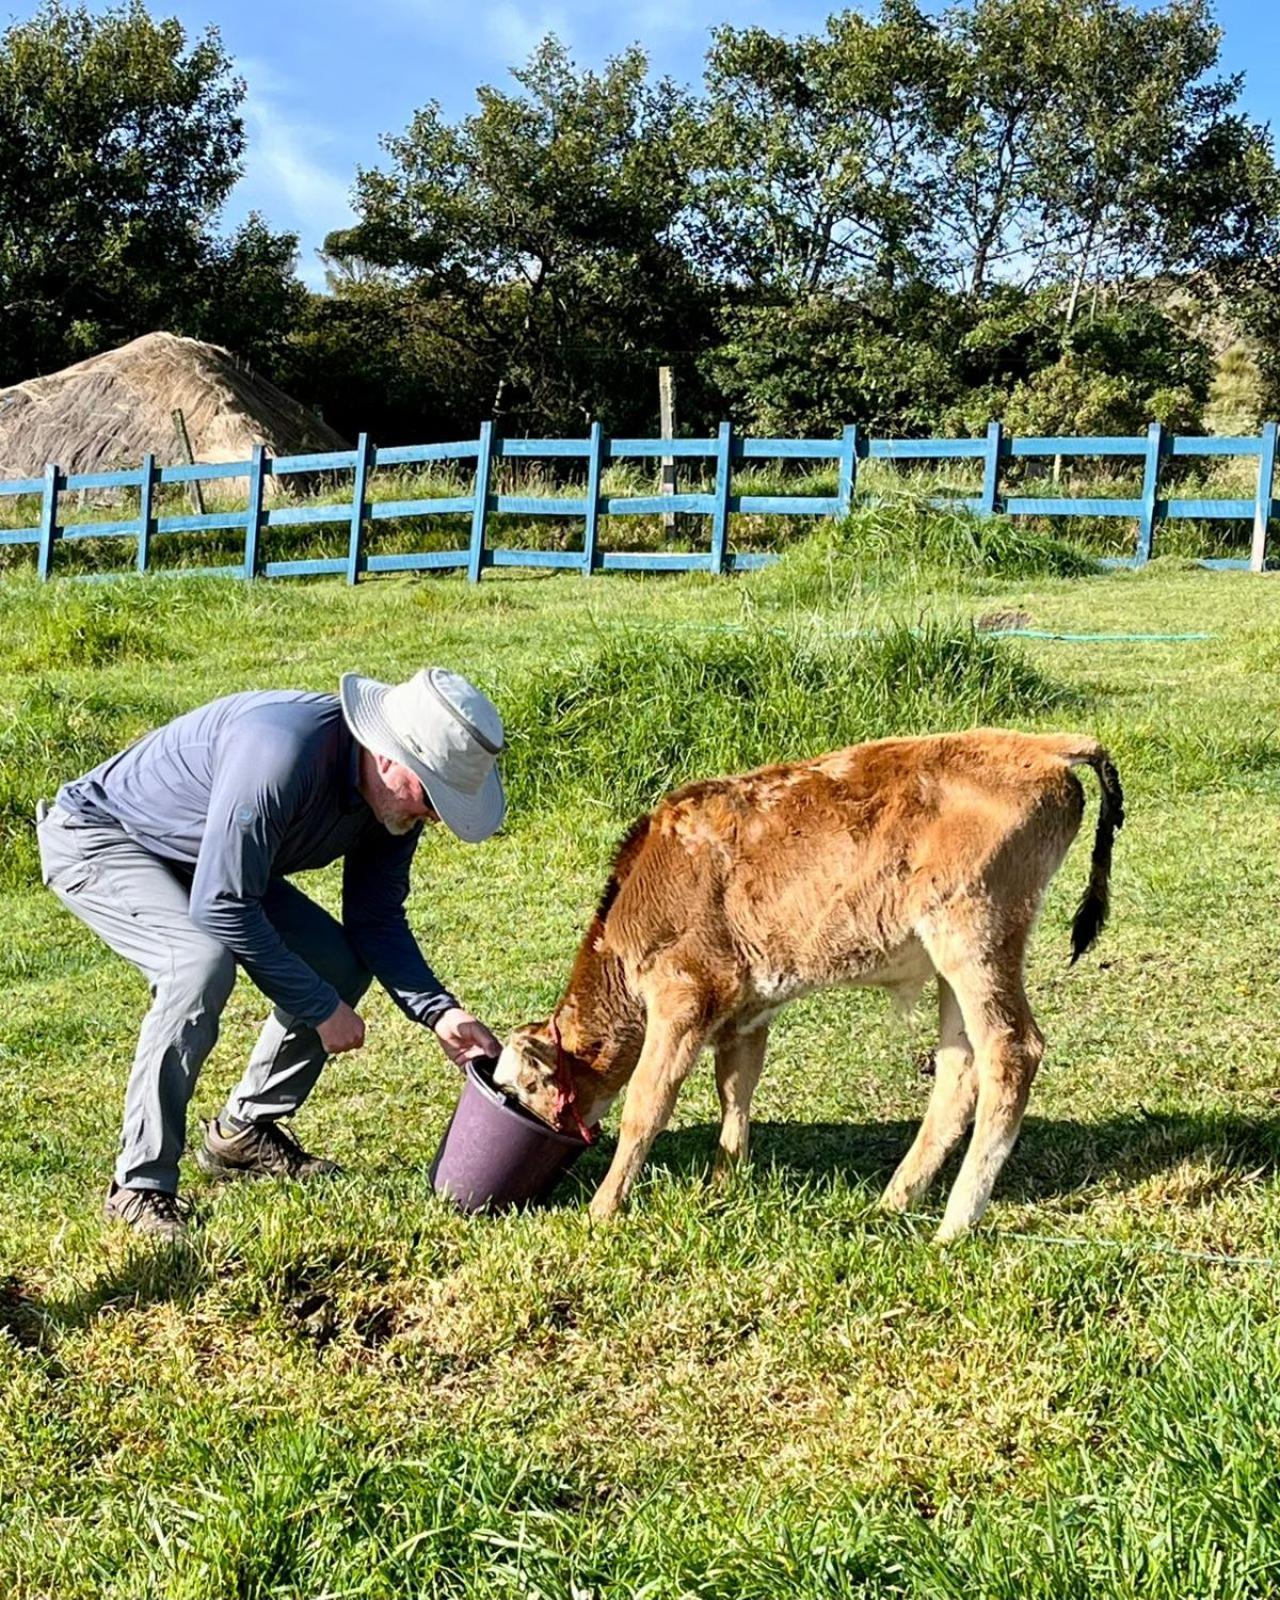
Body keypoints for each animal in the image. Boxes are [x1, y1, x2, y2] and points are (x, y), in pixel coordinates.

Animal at [496, 732, 1126, 1241]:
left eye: (522, 1086)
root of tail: (1040, 745)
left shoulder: (684, 996)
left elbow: (647, 1105)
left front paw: (604, 1208)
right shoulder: (745, 1010)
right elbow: (736, 1094)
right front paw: (722, 1186)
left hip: (976, 933)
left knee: (1012, 1052)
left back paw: (955, 1220)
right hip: (954, 960)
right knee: (960, 1069)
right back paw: (897, 1199)